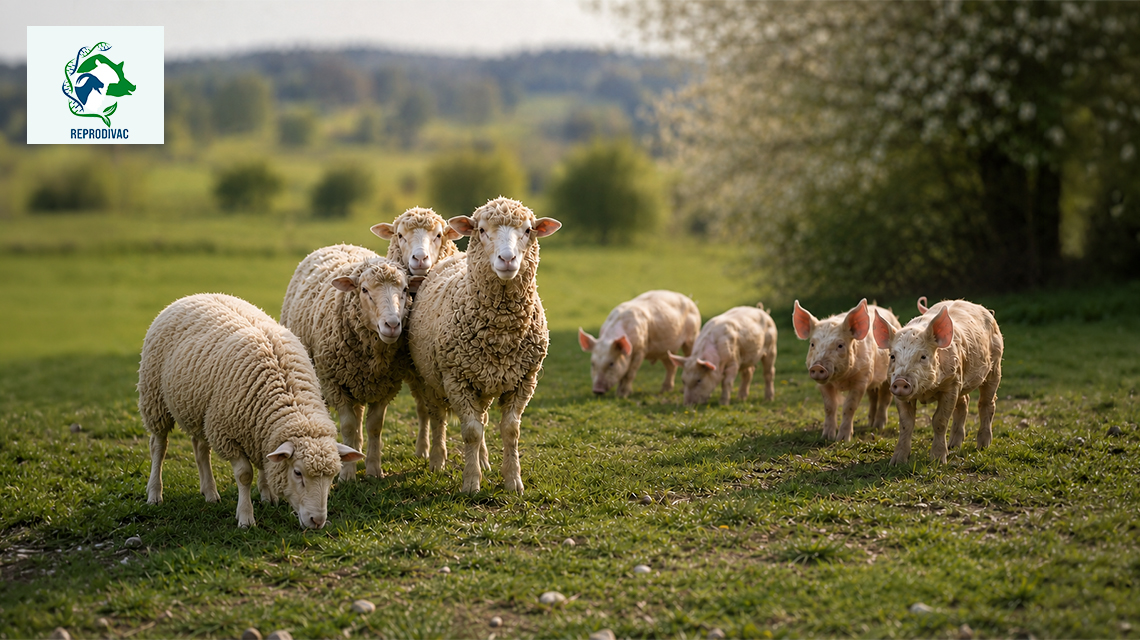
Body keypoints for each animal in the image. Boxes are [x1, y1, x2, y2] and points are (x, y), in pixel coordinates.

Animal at [138, 293, 364, 529]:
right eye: (297, 473)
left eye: (332, 476)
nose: (317, 521)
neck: (288, 397)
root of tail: (191, 296)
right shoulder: (226, 433)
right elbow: (244, 475)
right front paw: (246, 517)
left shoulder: (260, 431)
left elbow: (266, 462)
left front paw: (267, 496)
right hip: (154, 398)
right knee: (158, 446)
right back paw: (155, 494)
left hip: (199, 409)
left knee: (200, 448)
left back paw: (210, 493)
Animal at [280, 244, 421, 482]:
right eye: (364, 290)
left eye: (404, 290)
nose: (392, 325)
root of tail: (341, 244)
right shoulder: (334, 383)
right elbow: (347, 426)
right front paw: (347, 475)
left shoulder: (387, 387)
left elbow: (374, 427)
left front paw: (373, 471)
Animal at [408, 197, 561, 493]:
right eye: (480, 230)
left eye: (528, 230)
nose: (507, 259)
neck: (501, 333)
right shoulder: (456, 379)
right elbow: (471, 432)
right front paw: (471, 483)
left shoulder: (524, 380)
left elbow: (510, 430)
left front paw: (513, 481)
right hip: (430, 378)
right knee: (437, 417)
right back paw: (437, 461)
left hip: (484, 381)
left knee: (482, 418)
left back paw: (484, 460)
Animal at [792, 299, 902, 441]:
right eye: (812, 344)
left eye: (840, 345)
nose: (817, 367)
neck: (840, 381)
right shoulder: (824, 384)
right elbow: (829, 407)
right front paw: (826, 437)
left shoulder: (862, 380)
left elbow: (849, 406)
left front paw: (843, 439)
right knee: (873, 397)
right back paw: (870, 424)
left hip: (887, 377)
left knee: (885, 398)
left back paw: (878, 426)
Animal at [873, 298, 1004, 465]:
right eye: (892, 356)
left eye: (923, 356)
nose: (901, 381)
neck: (926, 391)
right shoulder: (899, 393)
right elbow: (906, 423)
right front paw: (896, 462)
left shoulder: (951, 385)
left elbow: (939, 421)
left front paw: (938, 461)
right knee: (964, 403)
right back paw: (954, 446)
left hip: (995, 366)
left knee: (987, 403)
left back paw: (982, 446)